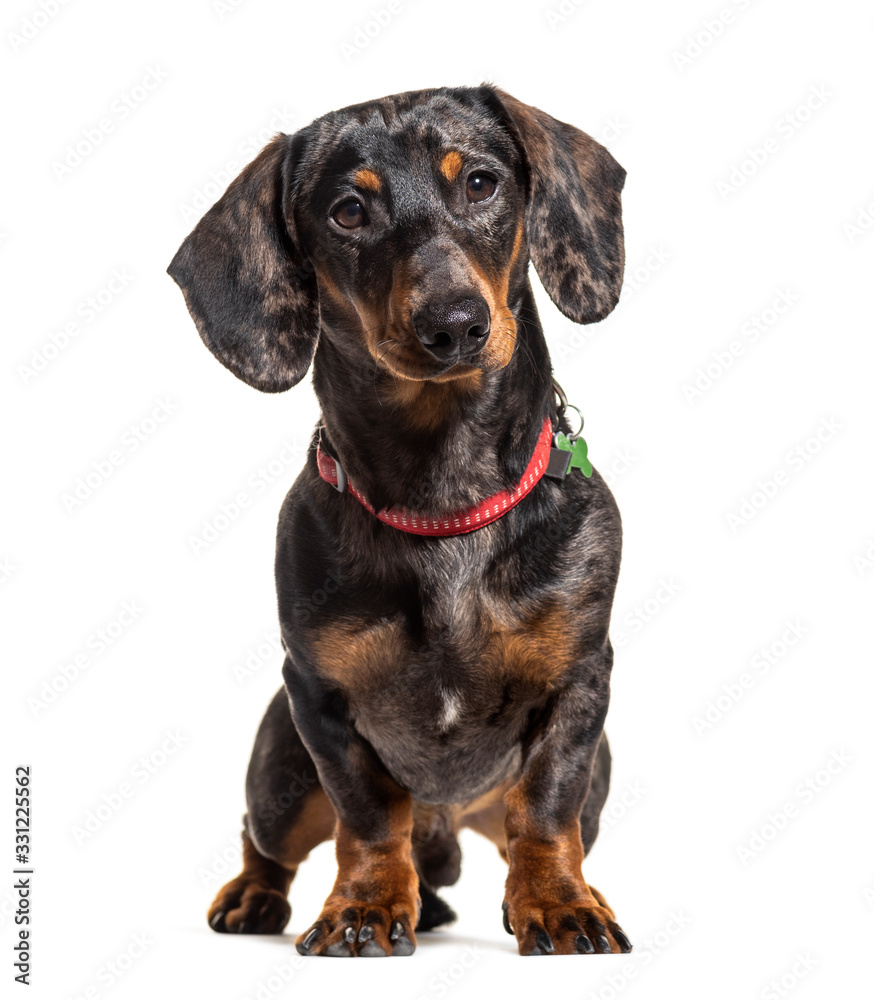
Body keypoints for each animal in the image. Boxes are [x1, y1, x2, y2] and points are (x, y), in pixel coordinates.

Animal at [167, 82, 628, 956]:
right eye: (349, 211)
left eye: (480, 183)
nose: (454, 324)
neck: (444, 497)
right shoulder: (321, 701)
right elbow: (373, 816)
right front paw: (364, 908)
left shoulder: (579, 689)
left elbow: (545, 810)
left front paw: (561, 905)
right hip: (280, 777)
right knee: (267, 837)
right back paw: (256, 895)